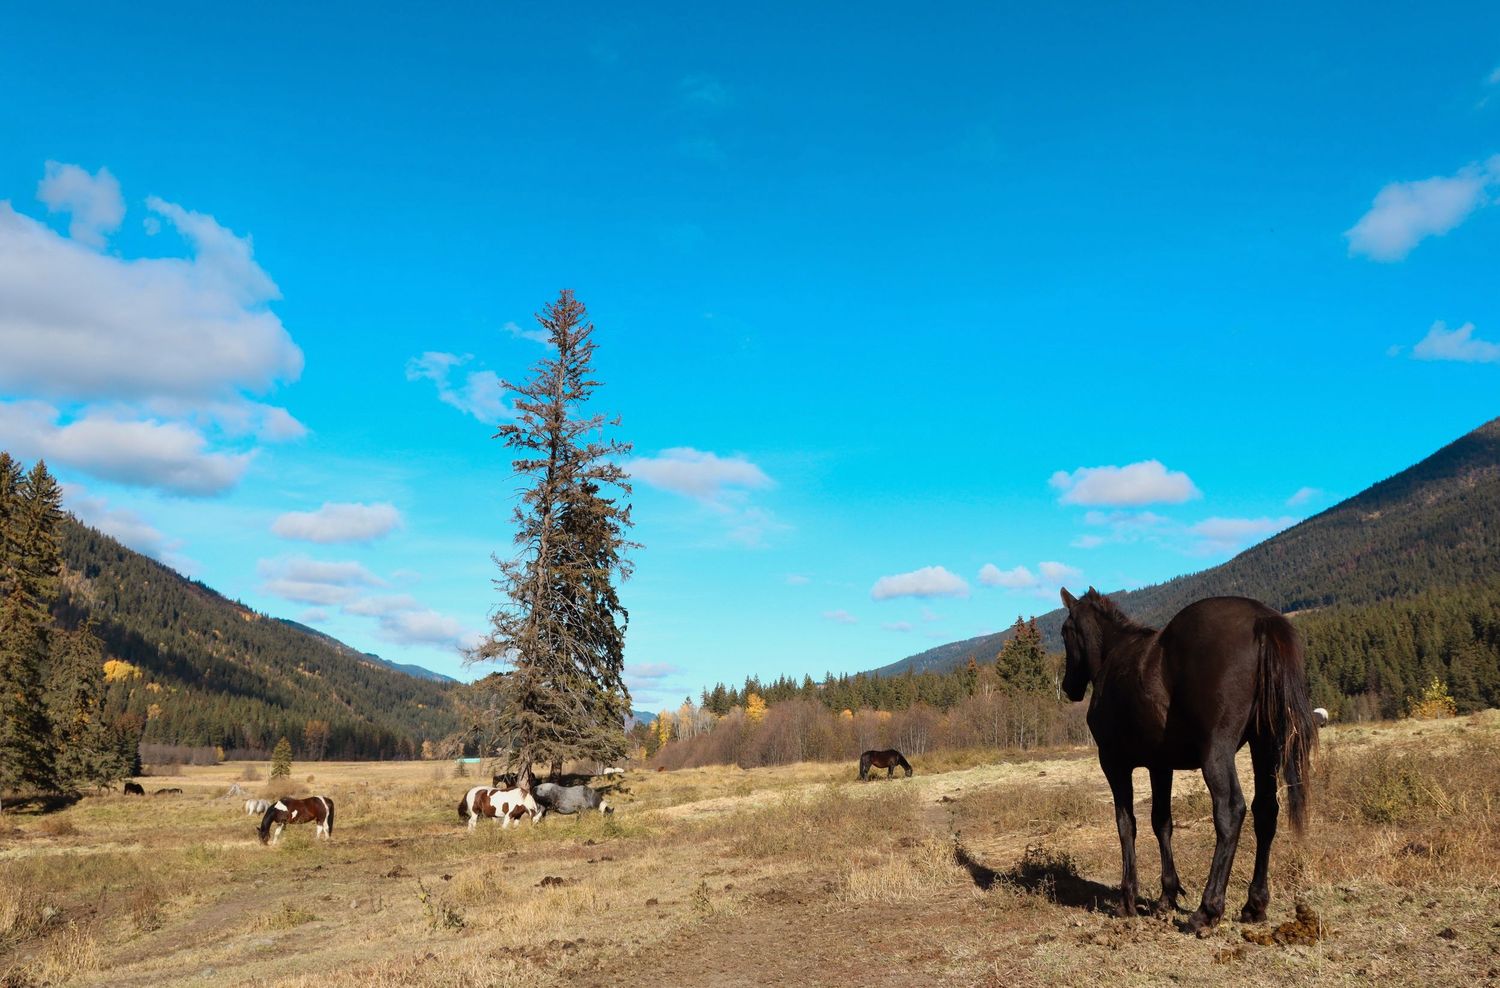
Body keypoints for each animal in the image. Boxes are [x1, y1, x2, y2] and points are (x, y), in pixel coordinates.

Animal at [1058, 587, 1316, 934]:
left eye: (1064, 631)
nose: (1068, 687)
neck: (1115, 656)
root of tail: (1262, 619)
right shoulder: (1160, 765)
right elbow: (1162, 823)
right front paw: (1167, 895)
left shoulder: (1114, 763)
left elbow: (1126, 824)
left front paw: (1128, 899)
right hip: (1264, 746)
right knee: (1266, 811)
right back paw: (1254, 905)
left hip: (1216, 751)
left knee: (1230, 811)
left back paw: (1207, 910)